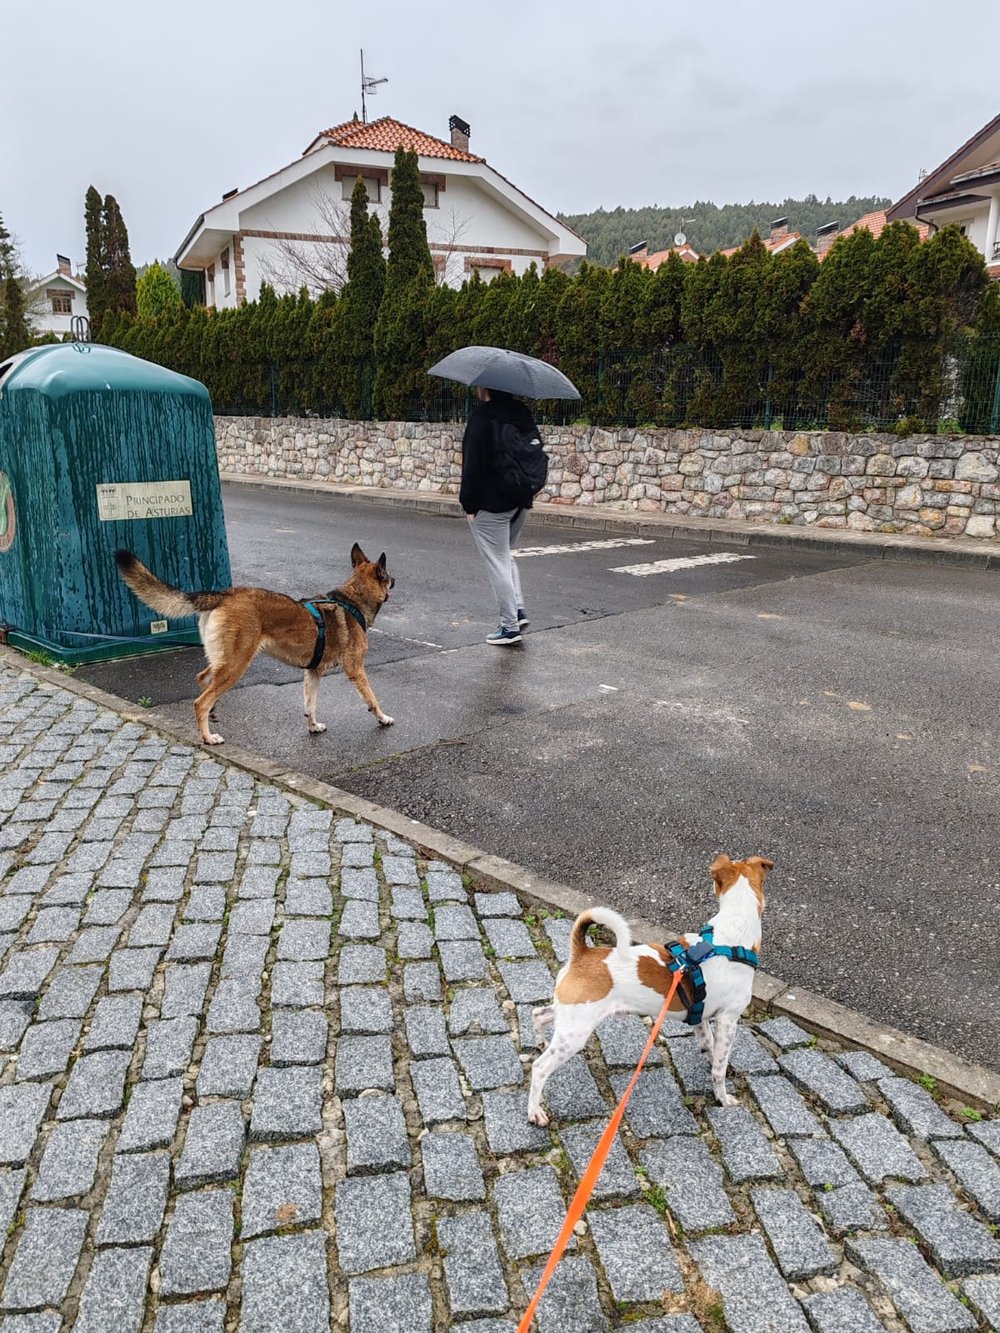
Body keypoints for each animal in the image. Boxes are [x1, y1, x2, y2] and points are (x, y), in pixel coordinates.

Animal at [116, 543, 394, 751]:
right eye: (388, 577)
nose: (395, 580)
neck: (352, 599)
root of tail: (225, 594)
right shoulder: (356, 669)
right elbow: (372, 698)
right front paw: (382, 718)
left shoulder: (313, 673)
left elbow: (310, 705)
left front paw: (313, 726)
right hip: (236, 665)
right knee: (200, 702)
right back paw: (208, 736)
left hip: (224, 661)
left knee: (203, 678)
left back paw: (213, 712)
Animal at [528, 853, 773, 1125]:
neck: (730, 938)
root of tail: (582, 953)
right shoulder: (728, 1019)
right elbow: (719, 1067)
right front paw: (723, 1098)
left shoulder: (701, 1015)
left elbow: (709, 1044)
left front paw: (709, 1057)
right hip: (575, 1033)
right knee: (539, 1068)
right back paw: (535, 1111)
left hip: (569, 1014)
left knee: (539, 1014)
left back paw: (540, 1041)